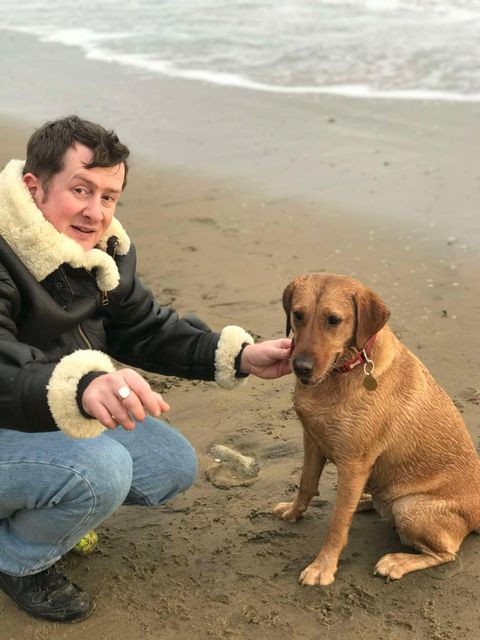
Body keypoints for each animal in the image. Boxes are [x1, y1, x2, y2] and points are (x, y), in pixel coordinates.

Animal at [274, 272, 480, 584]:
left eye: (333, 320)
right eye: (298, 315)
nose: (300, 367)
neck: (344, 370)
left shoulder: (354, 464)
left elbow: (337, 523)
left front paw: (323, 566)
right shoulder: (312, 441)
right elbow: (307, 484)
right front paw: (293, 511)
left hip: (409, 508)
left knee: (446, 553)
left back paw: (398, 561)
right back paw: (365, 500)